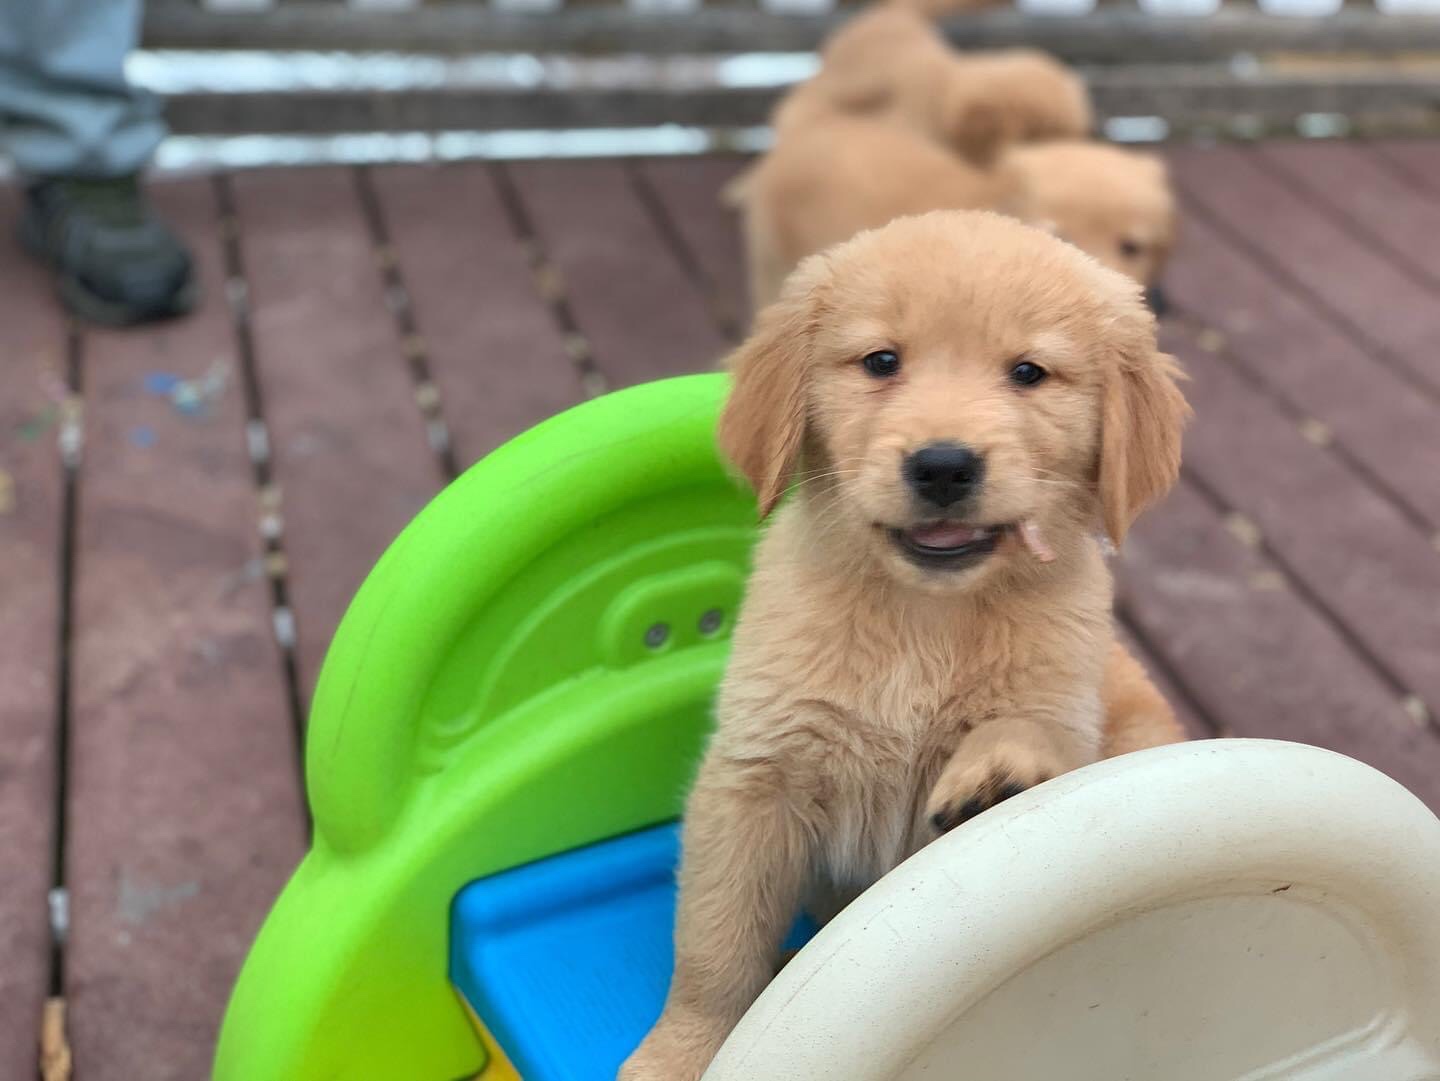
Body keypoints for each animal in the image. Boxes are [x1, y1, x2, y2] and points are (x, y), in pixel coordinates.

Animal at [619, 211, 1189, 1081]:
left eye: (1029, 373)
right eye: (881, 361)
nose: (944, 465)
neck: (925, 616)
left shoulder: (1066, 708)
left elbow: (1039, 736)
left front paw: (999, 772)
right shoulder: (755, 779)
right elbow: (717, 946)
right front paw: (680, 1054)